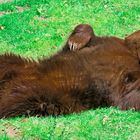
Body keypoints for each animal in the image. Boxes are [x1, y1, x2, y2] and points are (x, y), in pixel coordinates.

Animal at [0, 25, 140, 118]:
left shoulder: (119, 81)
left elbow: (128, 96)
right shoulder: (104, 44)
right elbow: (75, 43)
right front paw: (77, 40)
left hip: (36, 95)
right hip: (16, 64)